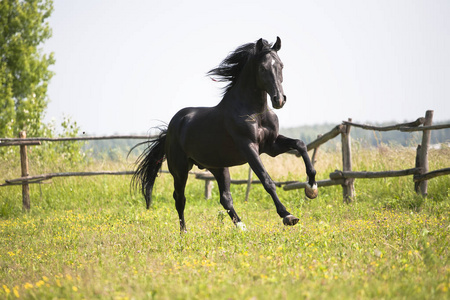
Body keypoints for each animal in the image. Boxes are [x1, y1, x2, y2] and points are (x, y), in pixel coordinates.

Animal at [132, 36, 318, 231]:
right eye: (262, 67)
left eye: (281, 65)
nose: (279, 100)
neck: (255, 112)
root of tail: (171, 128)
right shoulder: (249, 147)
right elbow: (266, 180)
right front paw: (288, 216)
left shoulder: (271, 145)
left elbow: (300, 144)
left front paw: (311, 189)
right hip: (180, 169)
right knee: (180, 198)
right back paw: (184, 232)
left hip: (218, 167)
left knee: (225, 198)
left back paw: (242, 228)